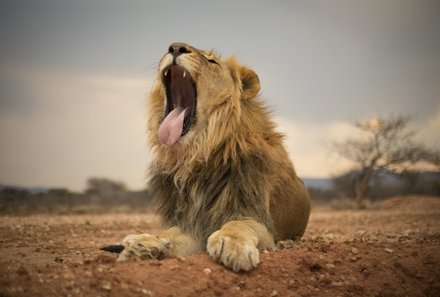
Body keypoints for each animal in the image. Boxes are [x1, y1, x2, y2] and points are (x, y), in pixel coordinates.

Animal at [115, 42, 312, 270]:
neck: (197, 157)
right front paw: (143, 244)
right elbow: (169, 233)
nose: (176, 47)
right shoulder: (193, 225)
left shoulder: (260, 220)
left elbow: (239, 224)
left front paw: (231, 244)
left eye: (211, 61)